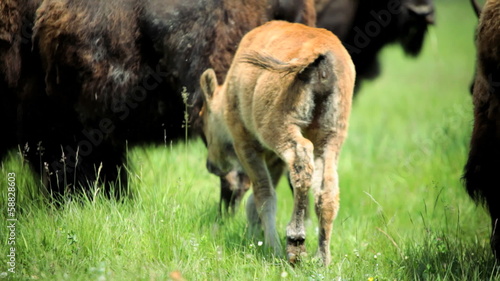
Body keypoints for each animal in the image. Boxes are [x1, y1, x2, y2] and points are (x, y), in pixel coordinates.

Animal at [199, 20, 356, 264]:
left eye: (203, 118)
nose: (211, 165)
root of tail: (321, 51)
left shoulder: (246, 145)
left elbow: (264, 195)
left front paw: (272, 247)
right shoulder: (274, 159)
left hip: (282, 129)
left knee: (301, 161)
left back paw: (295, 242)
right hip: (330, 138)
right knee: (327, 190)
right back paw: (322, 259)